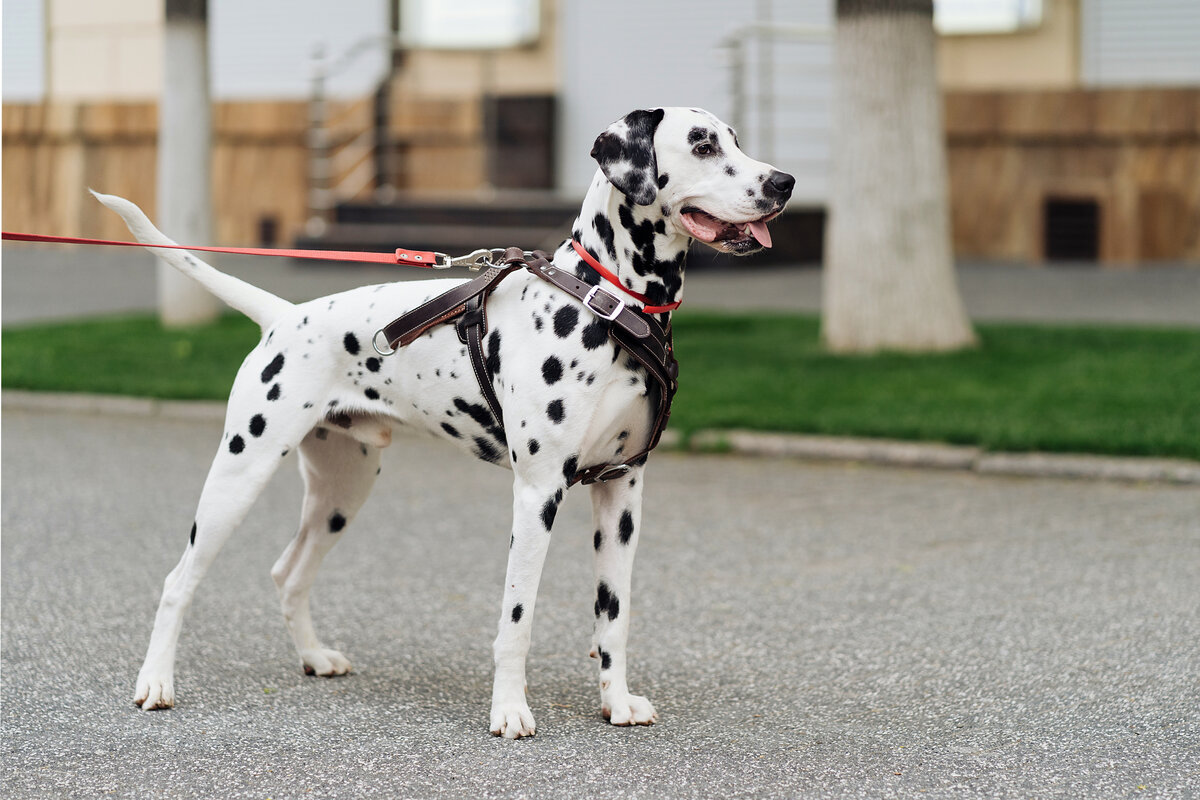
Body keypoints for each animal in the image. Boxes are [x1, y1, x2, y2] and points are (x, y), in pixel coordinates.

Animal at [91, 104, 787, 738]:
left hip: (342, 493)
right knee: (178, 581)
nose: (783, 182)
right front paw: (509, 711)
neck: (608, 303)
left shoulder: (622, 493)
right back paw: (156, 682)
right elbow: (516, 618)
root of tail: (284, 315)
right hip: (240, 476)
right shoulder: (538, 493)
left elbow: (612, 617)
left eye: (736, 139)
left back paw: (314, 657)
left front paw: (616, 703)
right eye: (701, 143)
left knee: (289, 573)